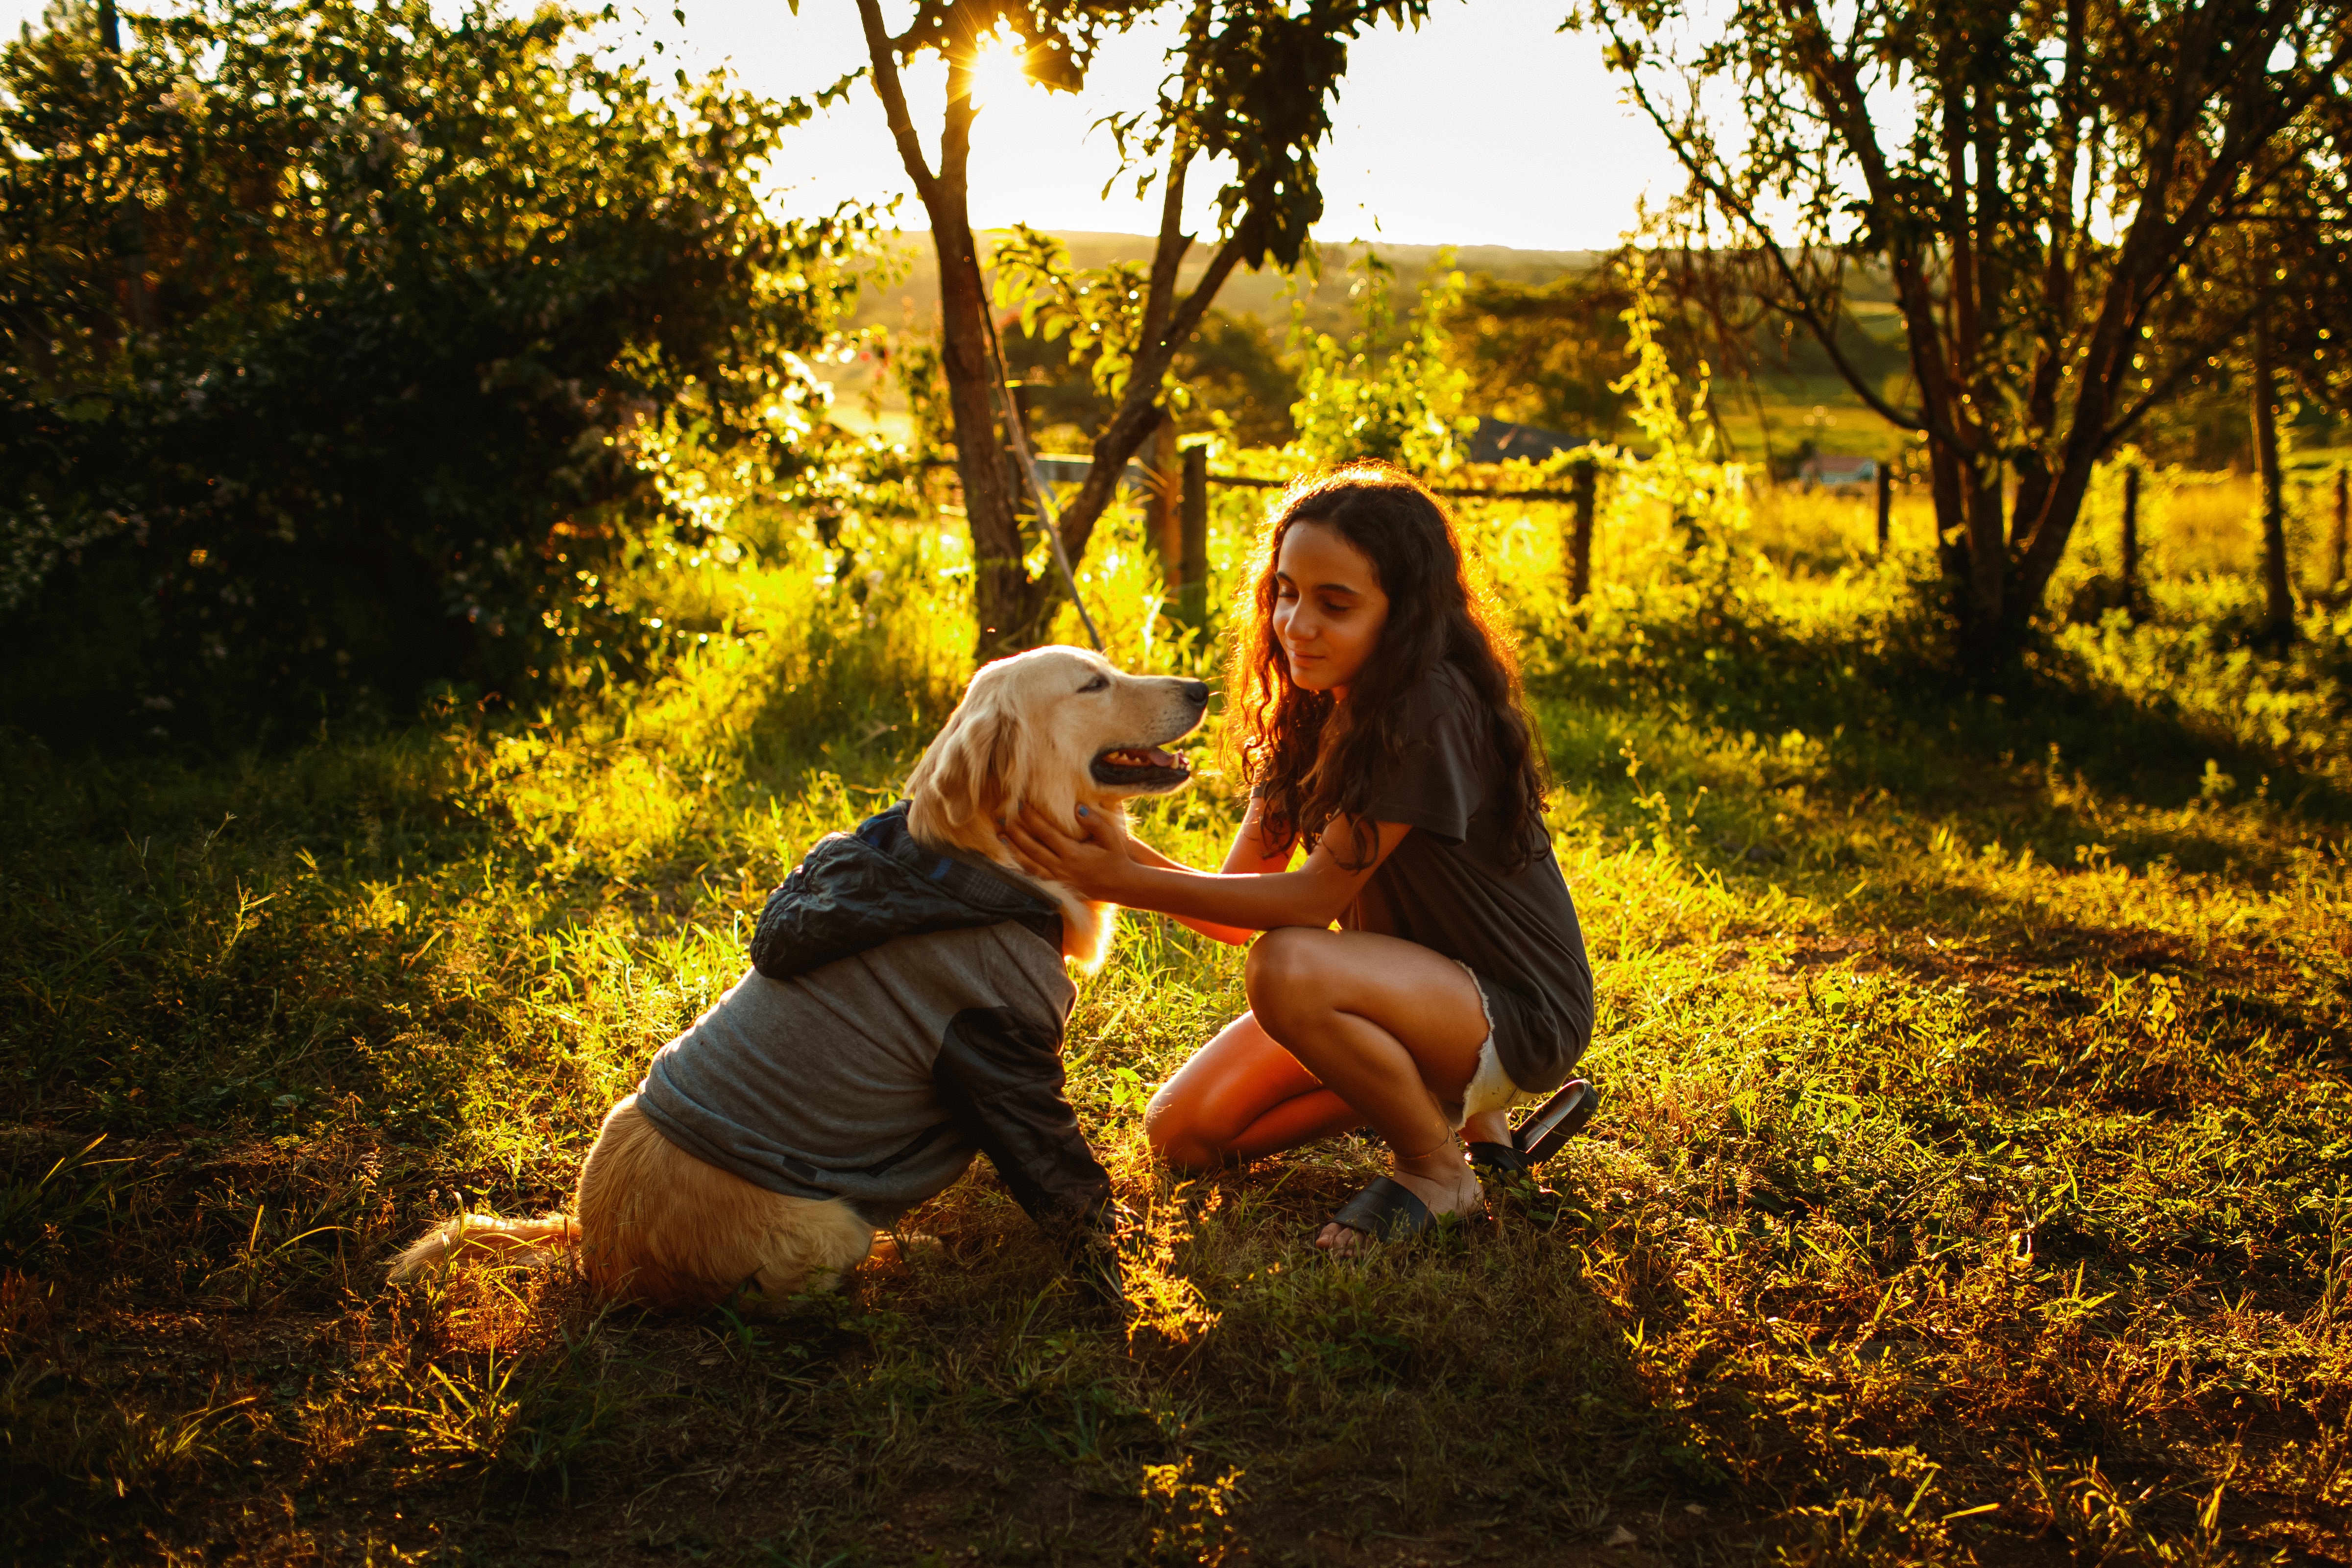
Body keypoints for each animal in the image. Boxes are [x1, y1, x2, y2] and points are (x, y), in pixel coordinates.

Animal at [392, 649, 1204, 1316]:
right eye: (1092, 684)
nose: (1201, 687)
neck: (974, 867)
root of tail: (598, 1251)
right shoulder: (1002, 1057)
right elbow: (1066, 1181)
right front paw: (1114, 1275)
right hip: (828, 1222)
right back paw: (909, 1255)